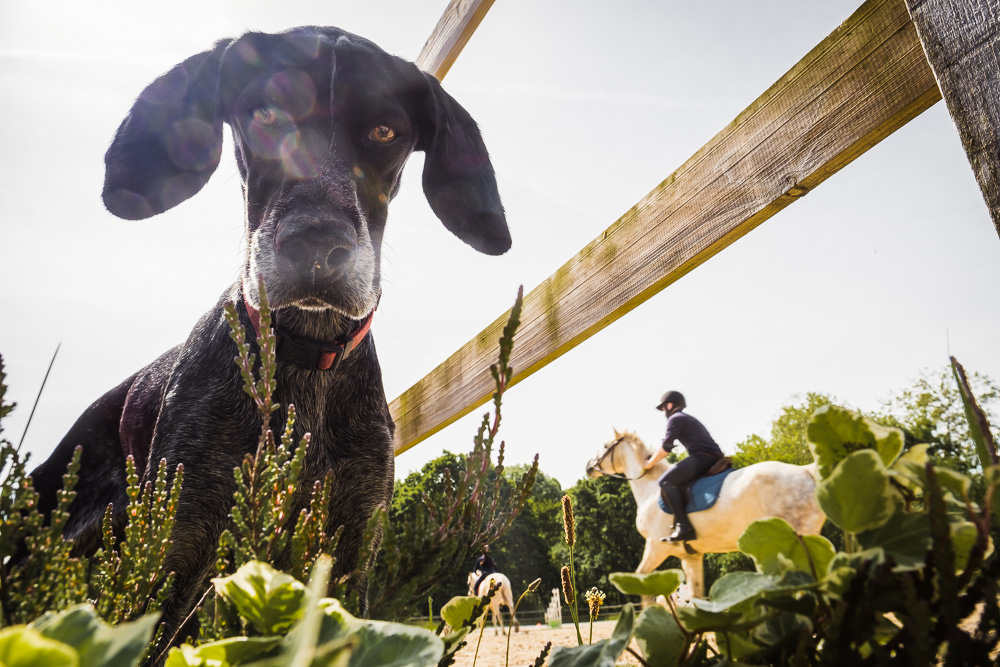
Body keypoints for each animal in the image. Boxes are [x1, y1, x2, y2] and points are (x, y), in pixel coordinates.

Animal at [29, 27, 508, 648]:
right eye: (265, 115)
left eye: (385, 132)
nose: (316, 245)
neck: (304, 352)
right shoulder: (178, 547)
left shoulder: (349, 552)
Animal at [584, 434, 824, 604]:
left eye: (605, 446)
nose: (588, 466)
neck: (650, 489)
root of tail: (805, 472)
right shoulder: (690, 556)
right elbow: (697, 597)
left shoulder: (655, 547)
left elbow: (642, 582)